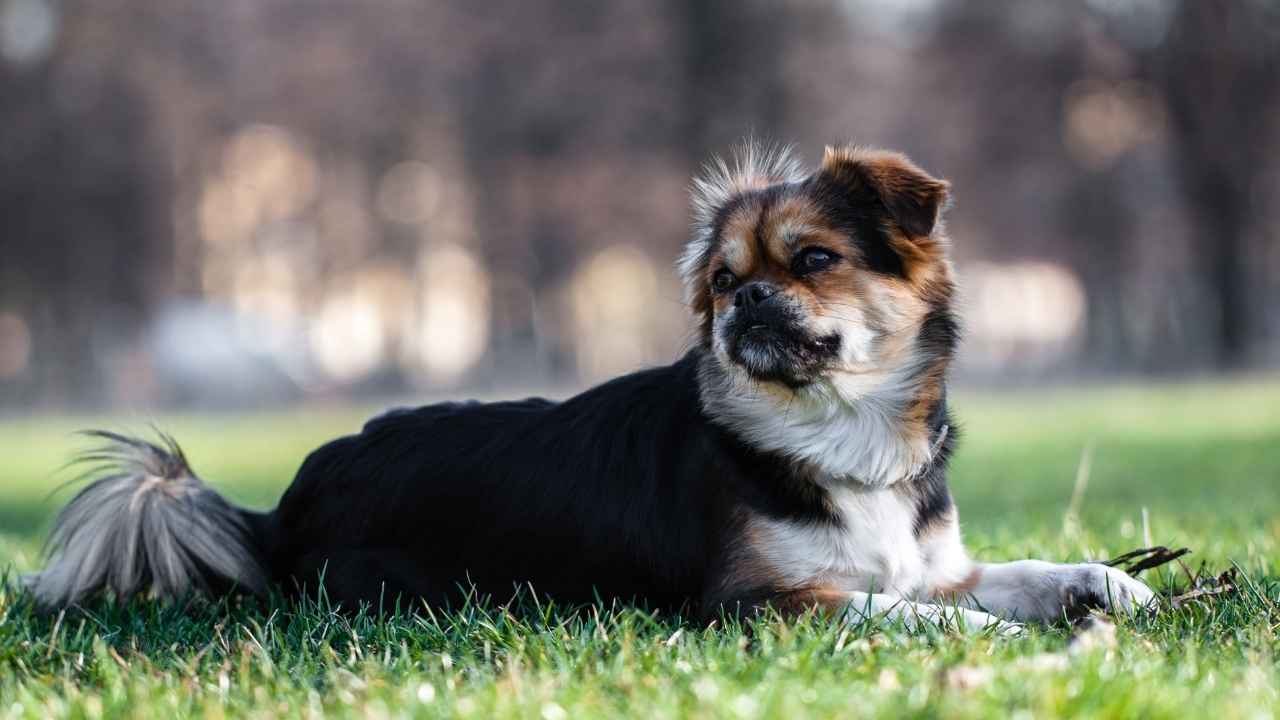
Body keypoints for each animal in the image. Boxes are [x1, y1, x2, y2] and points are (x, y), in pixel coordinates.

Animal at [24, 141, 1157, 627]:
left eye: (812, 260)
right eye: (722, 281)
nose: (747, 301)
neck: (839, 435)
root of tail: (281, 509)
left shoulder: (930, 565)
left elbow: (1020, 573)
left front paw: (1113, 586)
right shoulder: (766, 601)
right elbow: (920, 618)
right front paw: (1012, 639)